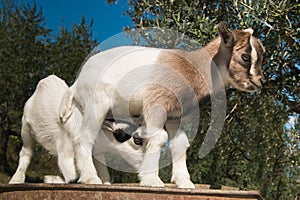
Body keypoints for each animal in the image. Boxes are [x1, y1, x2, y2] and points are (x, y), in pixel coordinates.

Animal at [8, 75, 142, 184]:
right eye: (137, 141)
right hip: (26, 126)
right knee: (26, 152)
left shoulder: (97, 154)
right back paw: (16, 179)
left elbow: (104, 173)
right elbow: (72, 176)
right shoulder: (65, 150)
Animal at [61, 21, 264, 188]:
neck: (191, 68)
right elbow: (158, 138)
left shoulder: (175, 115)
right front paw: (151, 180)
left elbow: (180, 144)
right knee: (85, 137)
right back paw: (90, 178)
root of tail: (76, 84)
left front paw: (184, 182)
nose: (260, 82)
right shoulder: (156, 105)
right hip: (97, 103)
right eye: (245, 56)